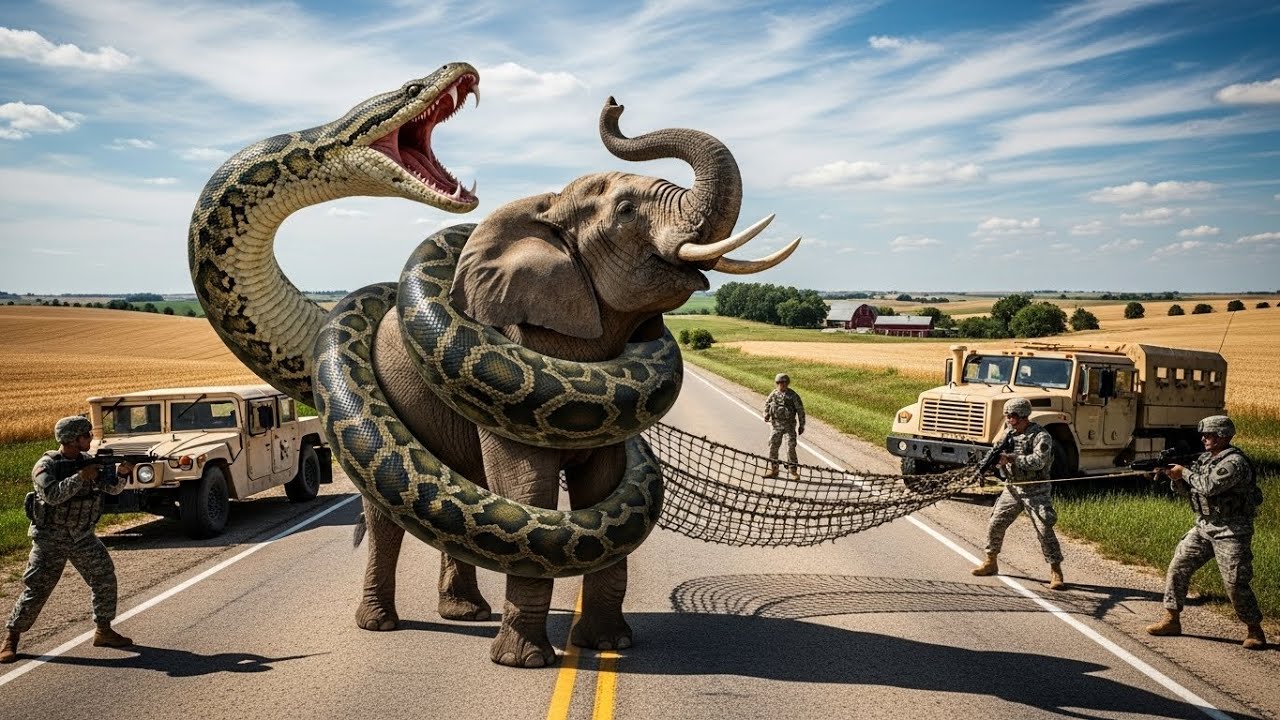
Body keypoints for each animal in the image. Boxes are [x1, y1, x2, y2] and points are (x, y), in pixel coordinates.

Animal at [188, 64, 798, 668]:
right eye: (411, 88)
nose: (460, 67)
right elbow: (527, 500)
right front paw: (523, 659)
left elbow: (600, 502)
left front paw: (606, 644)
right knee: (387, 524)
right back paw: (381, 622)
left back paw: (465, 612)